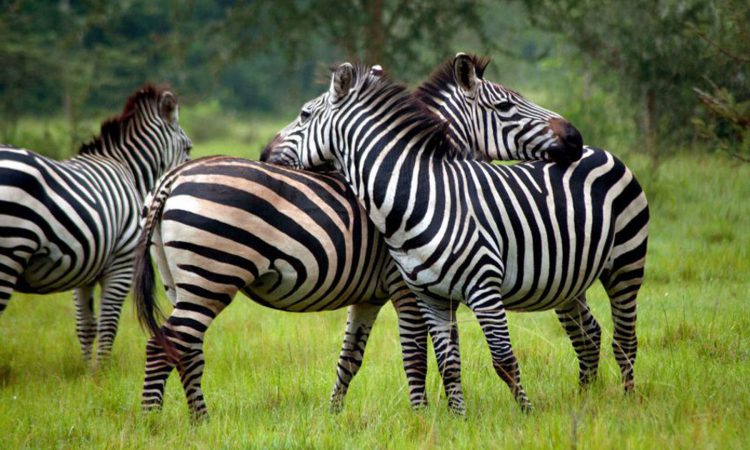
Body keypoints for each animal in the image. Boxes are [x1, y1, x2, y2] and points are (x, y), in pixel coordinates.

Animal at [1, 84, 194, 364]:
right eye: (189, 148)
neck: (128, 170)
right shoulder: (121, 263)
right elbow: (108, 325)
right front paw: (101, 370)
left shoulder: (86, 264)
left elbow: (87, 326)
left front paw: (87, 370)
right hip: (10, 250)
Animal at [134, 60, 580, 422]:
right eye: (506, 106)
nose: (575, 138)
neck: (418, 180)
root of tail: (173, 177)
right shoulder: (406, 288)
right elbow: (419, 353)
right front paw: (423, 416)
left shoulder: (372, 296)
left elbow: (351, 358)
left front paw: (334, 416)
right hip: (212, 274)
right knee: (163, 346)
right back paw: (153, 422)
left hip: (183, 282)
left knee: (186, 349)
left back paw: (200, 420)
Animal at [268, 61, 648, 414]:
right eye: (505, 105)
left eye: (304, 114)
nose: (574, 138)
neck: (419, 192)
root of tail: (602, 151)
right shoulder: (421, 294)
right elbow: (436, 359)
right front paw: (448, 417)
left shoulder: (463, 289)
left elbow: (470, 358)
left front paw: (519, 414)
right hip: (569, 280)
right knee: (589, 334)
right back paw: (587, 397)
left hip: (625, 264)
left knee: (623, 338)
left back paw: (625, 400)